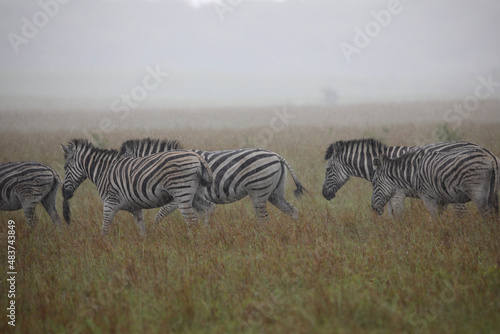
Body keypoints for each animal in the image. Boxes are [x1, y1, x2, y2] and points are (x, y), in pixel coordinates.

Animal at [60, 138, 213, 235]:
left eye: (65, 167)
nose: (64, 194)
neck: (103, 171)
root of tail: (196, 156)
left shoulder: (110, 202)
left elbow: (104, 228)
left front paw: (102, 247)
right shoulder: (135, 207)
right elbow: (141, 230)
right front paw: (143, 249)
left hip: (182, 192)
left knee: (192, 221)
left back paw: (192, 242)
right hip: (195, 194)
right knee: (208, 208)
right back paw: (204, 236)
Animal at [119, 137, 304, 223]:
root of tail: (277, 155)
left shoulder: (178, 197)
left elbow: (160, 215)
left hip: (259, 189)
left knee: (264, 217)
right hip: (274, 192)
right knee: (292, 210)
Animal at [322, 138, 494, 217]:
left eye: (328, 170)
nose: (324, 194)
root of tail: (484, 150)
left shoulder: (397, 192)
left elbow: (397, 213)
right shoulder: (388, 192)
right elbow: (391, 214)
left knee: (461, 211)